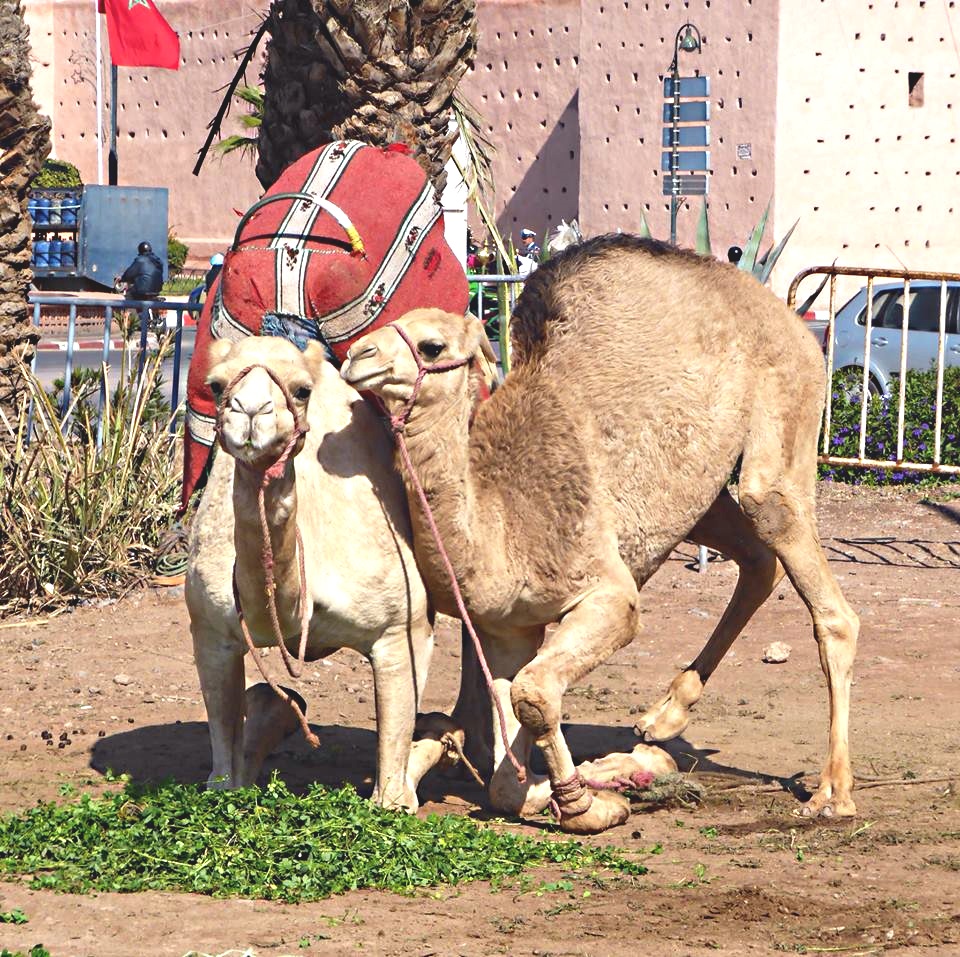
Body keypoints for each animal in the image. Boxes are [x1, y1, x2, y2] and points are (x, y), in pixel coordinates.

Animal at [188, 334, 462, 808]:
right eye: (217, 386)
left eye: (302, 390)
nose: (251, 412)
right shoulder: (209, 630)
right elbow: (225, 777)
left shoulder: (402, 630)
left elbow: (392, 794)